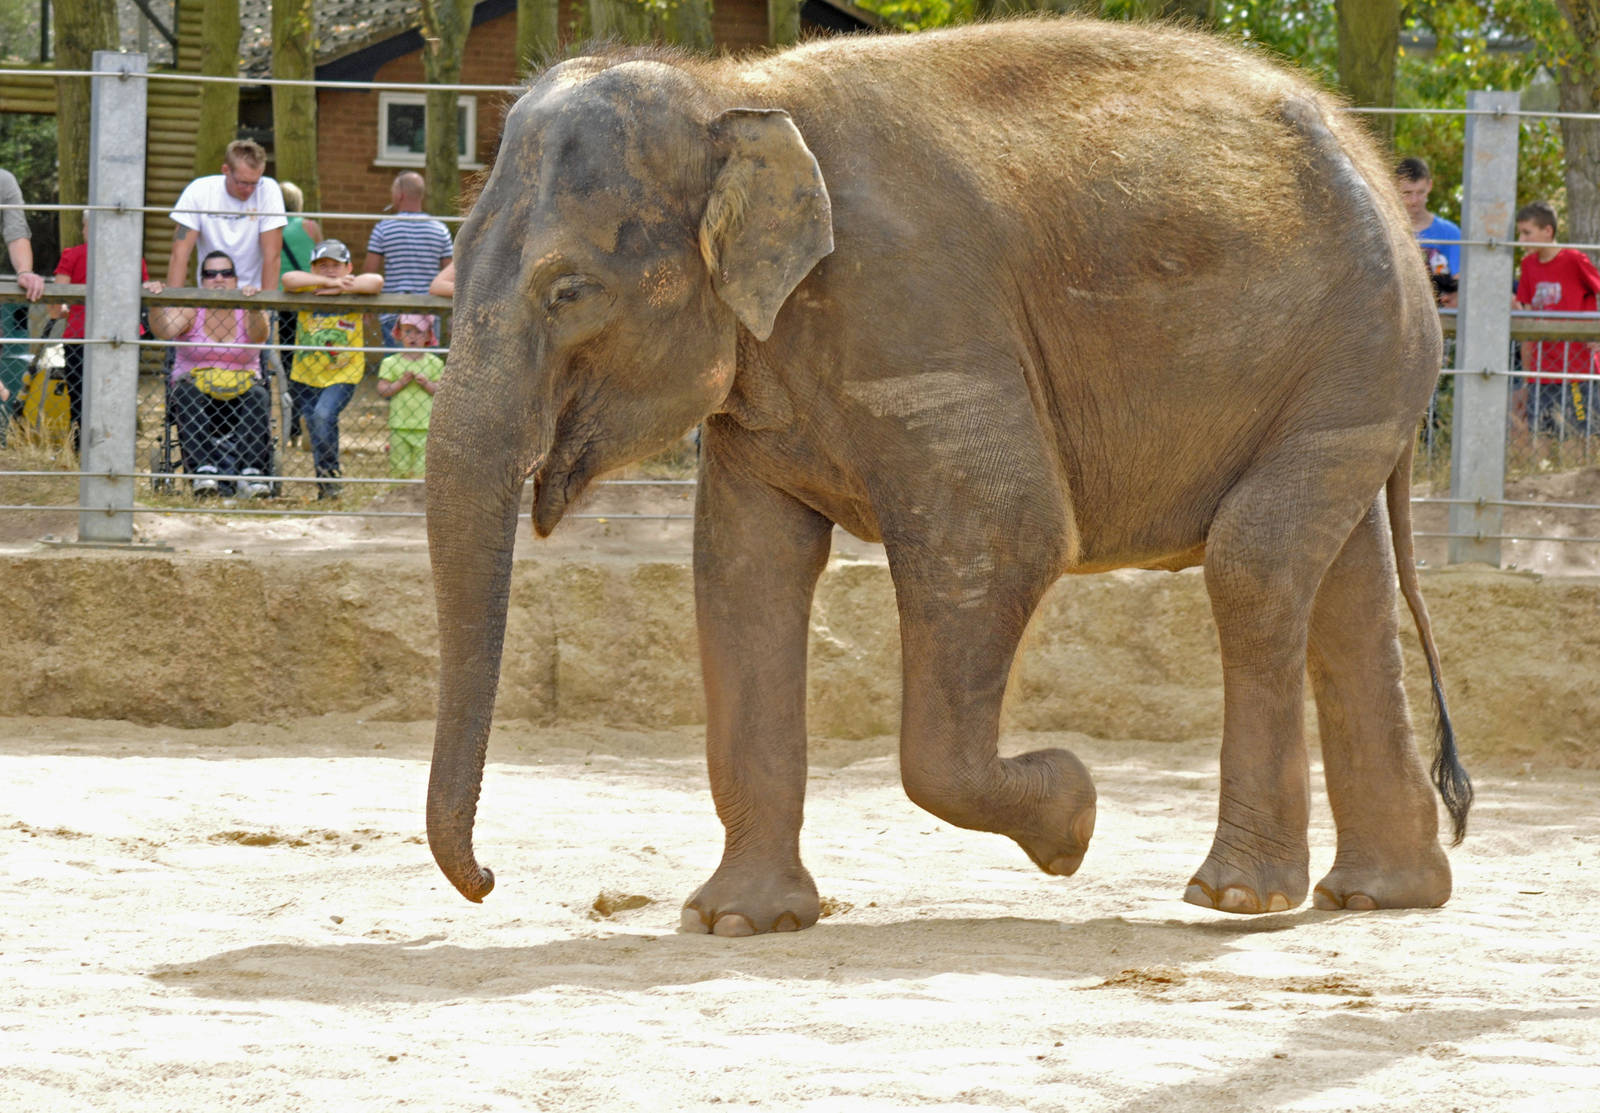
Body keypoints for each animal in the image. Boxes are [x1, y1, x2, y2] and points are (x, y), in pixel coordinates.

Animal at [424, 16, 1472, 936]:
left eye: (569, 293)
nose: (489, 879)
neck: (736, 92)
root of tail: (1374, 161)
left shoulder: (919, 316)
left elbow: (1008, 534)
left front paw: (1074, 818)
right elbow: (743, 574)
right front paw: (738, 921)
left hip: (1355, 347)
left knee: (1254, 564)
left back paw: (1238, 898)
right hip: (1349, 376)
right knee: (1343, 587)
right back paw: (1382, 894)